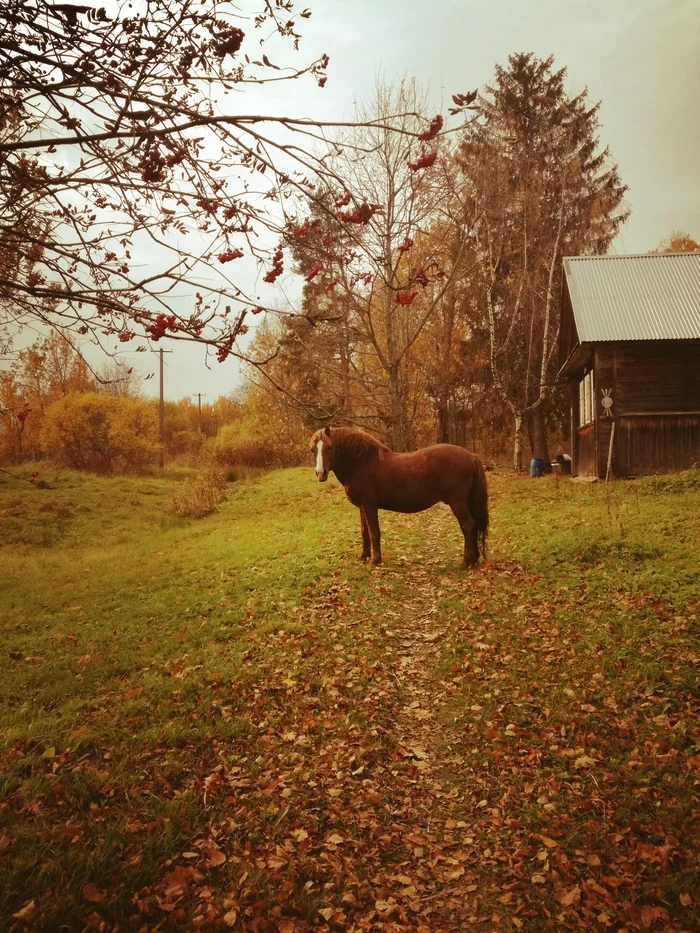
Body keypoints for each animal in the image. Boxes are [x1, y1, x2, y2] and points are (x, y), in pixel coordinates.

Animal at [308, 426, 490, 564]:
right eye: (312, 449)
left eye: (329, 448)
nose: (320, 473)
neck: (362, 463)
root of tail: (471, 456)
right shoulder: (362, 508)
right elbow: (364, 532)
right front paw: (364, 557)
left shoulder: (369, 506)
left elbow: (374, 532)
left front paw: (375, 561)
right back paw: (474, 559)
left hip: (457, 503)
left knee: (468, 526)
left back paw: (467, 561)